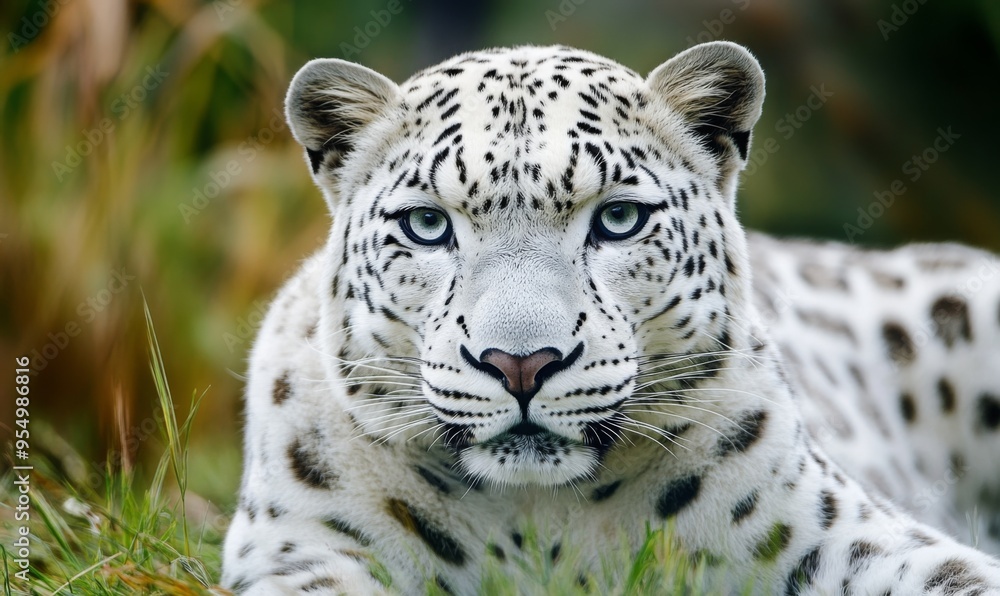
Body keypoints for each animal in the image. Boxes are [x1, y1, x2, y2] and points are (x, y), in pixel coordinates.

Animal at [221, 42, 1000, 594]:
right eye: (427, 226)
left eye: (618, 219)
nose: (521, 365)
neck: (540, 521)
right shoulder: (302, 549)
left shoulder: (847, 534)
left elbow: (953, 576)